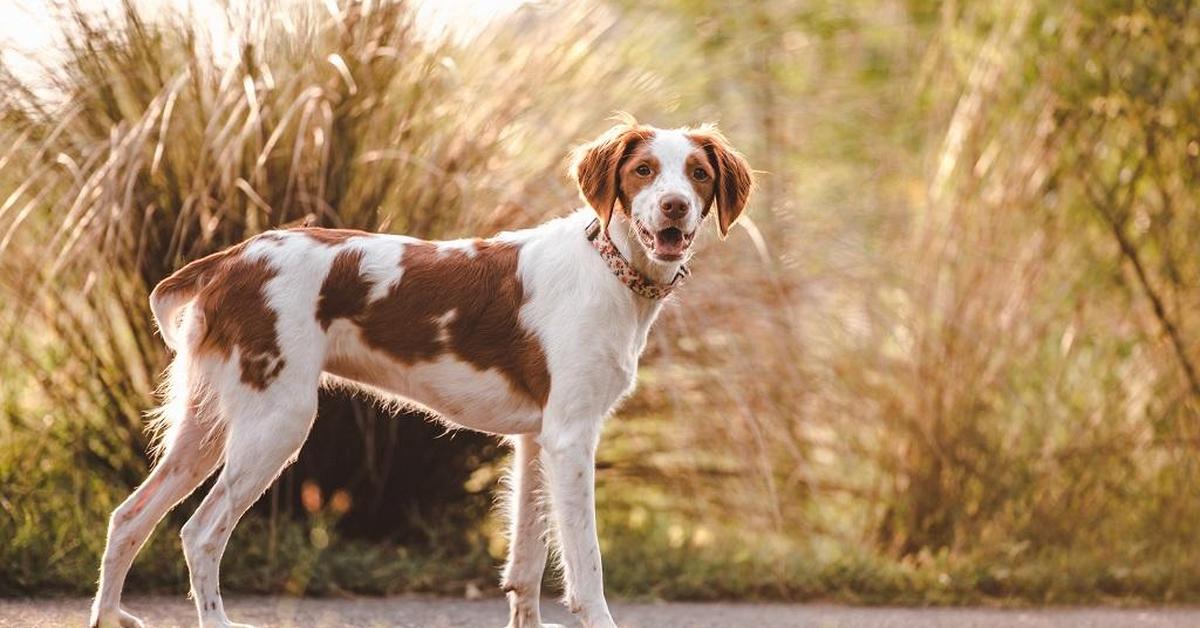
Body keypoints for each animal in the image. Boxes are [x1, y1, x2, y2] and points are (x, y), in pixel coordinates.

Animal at [91, 116, 748, 628]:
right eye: (644, 171)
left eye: (698, 174)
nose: (674, 207)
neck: (610, 271)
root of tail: (231, 258)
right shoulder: (571, 437)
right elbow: (585, 569)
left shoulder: (537, 441)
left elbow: (527, 566)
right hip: (276, 421)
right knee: (201, 533)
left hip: (208, 425)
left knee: (129, 517)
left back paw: (107, 614)